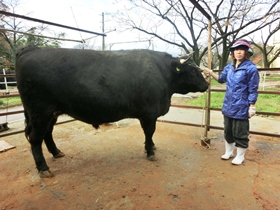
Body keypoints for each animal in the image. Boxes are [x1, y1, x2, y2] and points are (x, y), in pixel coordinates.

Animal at [15, 45, 208, 177]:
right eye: (192, 70)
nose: (206, 85)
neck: (163, 72)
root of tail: (31, 49)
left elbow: (150, 134)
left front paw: (152, 146)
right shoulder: (149, 113)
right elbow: (149, 131)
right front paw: (150, 151)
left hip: (50, 113)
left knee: (47, 133)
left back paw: (57, 153)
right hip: (40, 112)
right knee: (35, 138)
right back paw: (43, 169)